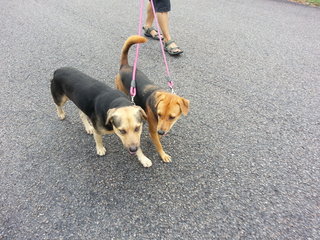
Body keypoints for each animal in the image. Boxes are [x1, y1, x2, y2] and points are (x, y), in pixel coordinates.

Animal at [115, 35, 189, 163]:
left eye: (172, 117)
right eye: (159, 114)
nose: (161, 132)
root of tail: (125, 66)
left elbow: (158, 138)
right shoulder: (154, 128)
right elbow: (158, 145)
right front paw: (163, 155)